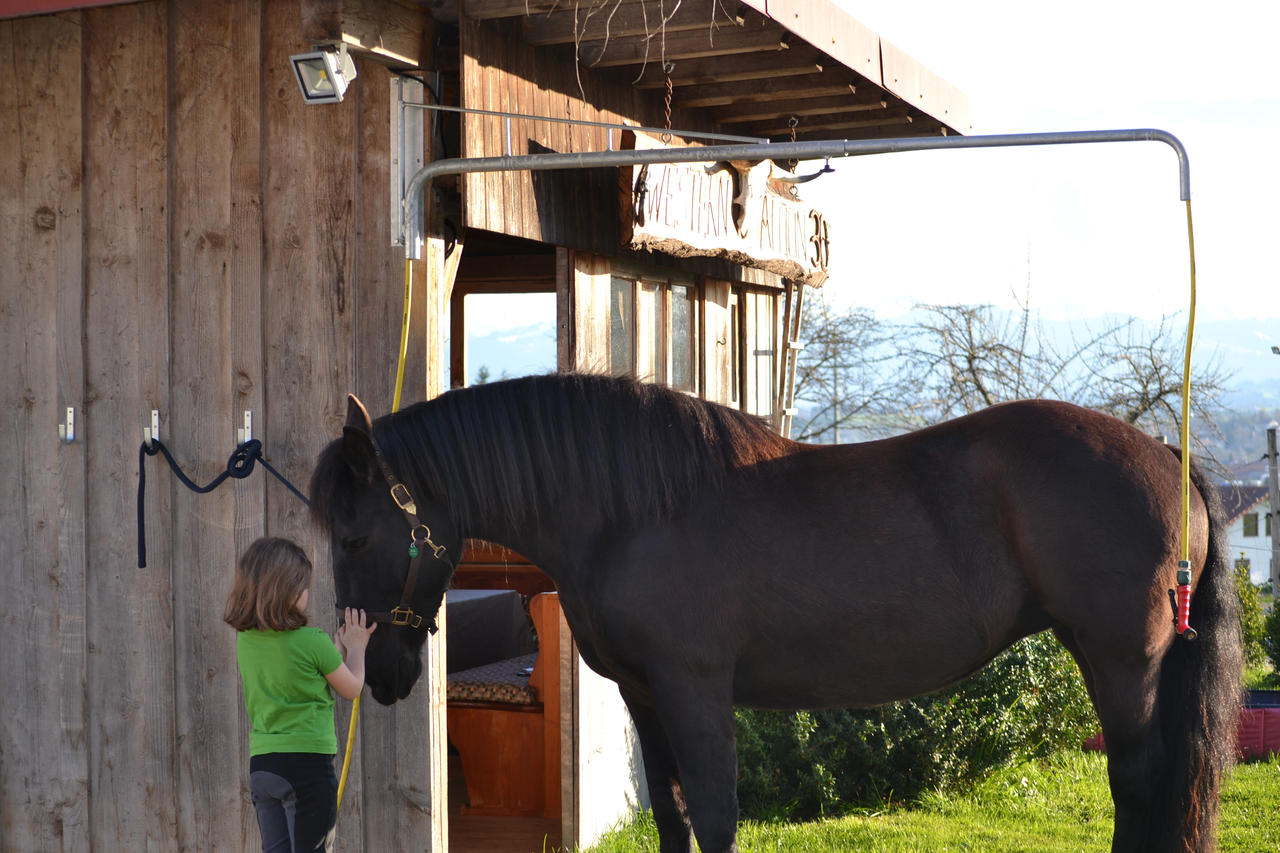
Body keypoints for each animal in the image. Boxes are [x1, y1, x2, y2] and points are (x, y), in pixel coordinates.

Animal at [309, 373, 1239, 850]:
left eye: (353, 534)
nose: (376, 672)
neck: (631, 512)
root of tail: (1168, 452)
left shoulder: (694, 691)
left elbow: (716, 814)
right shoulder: (645, 697)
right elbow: (676, 819)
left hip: (1120, 662)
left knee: (1142, 784)